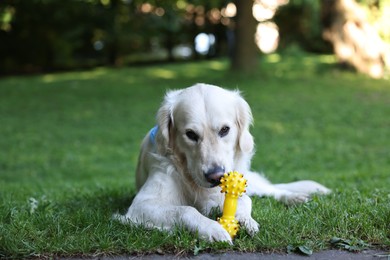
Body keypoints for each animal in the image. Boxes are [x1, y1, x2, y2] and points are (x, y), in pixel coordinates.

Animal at [117, 83, 330, 244]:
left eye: (225, 130)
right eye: (190, 134)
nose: (215, 176)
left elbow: (245, 201)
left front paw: (246, 220)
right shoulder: (141, 205)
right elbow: (186, 210)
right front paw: (213, 229)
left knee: (273, 190)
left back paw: (295, 197)